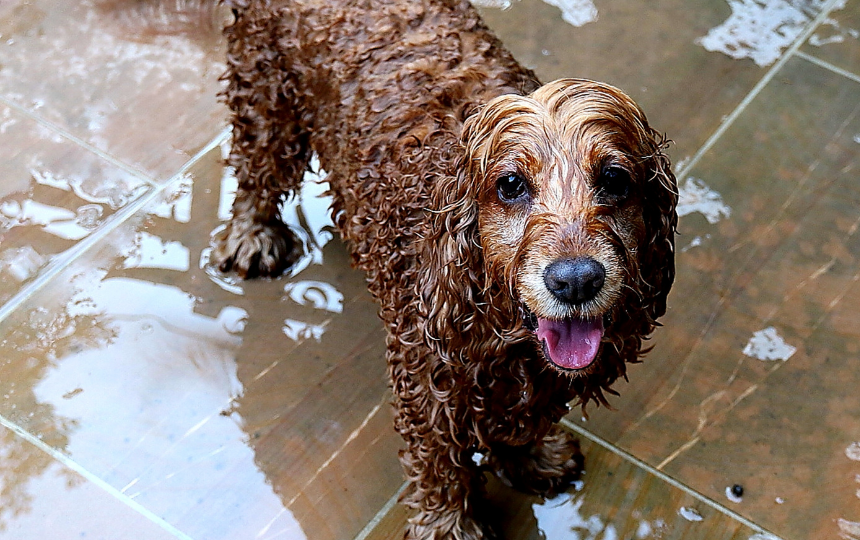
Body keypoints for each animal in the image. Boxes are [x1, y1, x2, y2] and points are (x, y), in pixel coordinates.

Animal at [104, 0, 680, 536]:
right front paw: (449, 527)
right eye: (511, 185)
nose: (575, 280)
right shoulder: (427, 373)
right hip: (264, 87)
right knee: (257, 166)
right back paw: (252, 235)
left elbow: (521, 416)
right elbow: (440, 464)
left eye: (615, 179)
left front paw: (533, 457)